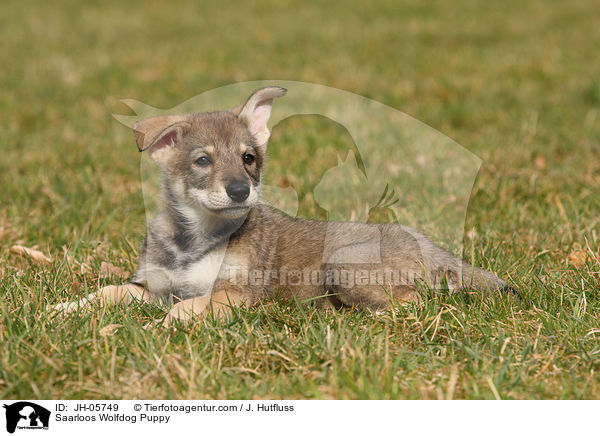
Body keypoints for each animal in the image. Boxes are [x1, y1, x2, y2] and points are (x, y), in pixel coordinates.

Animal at [50, 87, 516, 324]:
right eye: (202, 161)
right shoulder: (153, 286)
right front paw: (65, 309)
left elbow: (185, 309)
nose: (241, 191)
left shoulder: (236, 293)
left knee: (416, 302)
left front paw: (156, 329)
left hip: (344, 267)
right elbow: (110, 291)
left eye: (248, 158)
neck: (194, 239)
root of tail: (419, 238)